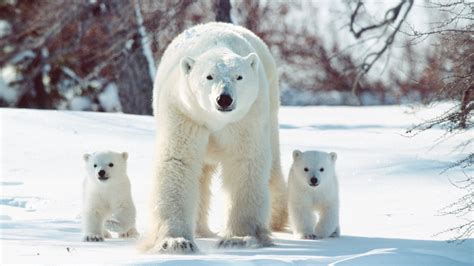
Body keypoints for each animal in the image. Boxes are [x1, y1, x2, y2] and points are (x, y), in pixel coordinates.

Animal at [141, 21, 286, 252]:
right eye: (209, 76)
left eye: (239, 76)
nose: (224, 99)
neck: (214, 120)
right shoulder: (184, 112)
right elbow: (178, 161)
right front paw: (175, 242)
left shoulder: (246, 117)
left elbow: (245, 161)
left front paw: (239, 238)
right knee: (201, 176)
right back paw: (200, 229)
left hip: (270, 104)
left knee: (272, 166)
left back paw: (276, 220)